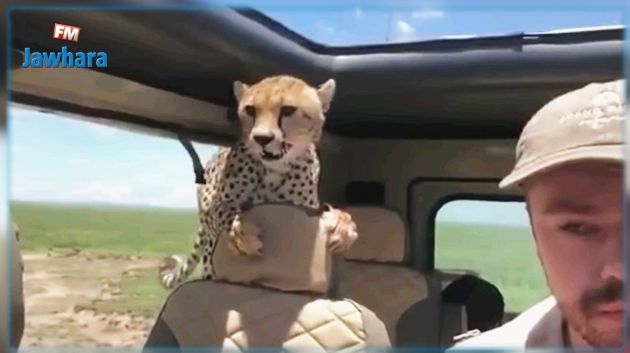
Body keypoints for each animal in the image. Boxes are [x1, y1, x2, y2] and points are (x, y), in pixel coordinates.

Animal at [160, 75, 358, 288]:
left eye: (288, 110)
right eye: (250, 110)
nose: (261, 138)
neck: (275, 169)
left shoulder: (304, 209)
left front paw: (343, 227)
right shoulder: (212, 209)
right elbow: (225, 210)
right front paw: (242, 232)